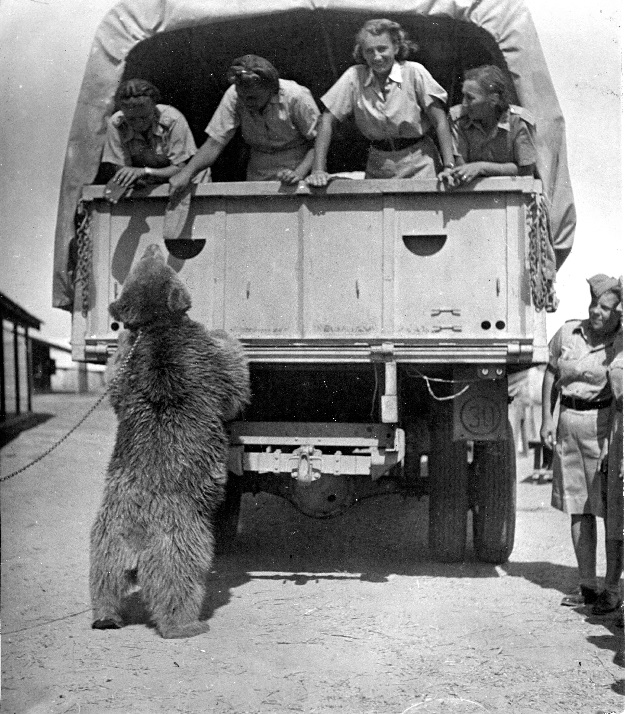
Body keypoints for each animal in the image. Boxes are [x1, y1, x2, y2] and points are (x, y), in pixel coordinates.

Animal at [89, 242, 250, 636]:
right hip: (180, 537)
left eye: (141, 262)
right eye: (155, 261)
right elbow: (233, 379)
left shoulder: (125, 361)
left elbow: (116, 377)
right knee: (176, 578)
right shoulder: (204, 356)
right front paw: (230, 336)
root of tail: (134, 534)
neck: (155, 325)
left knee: (104, 578)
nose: (153, 244)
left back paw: (105, 615)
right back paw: (186, 624)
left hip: (105, 539)